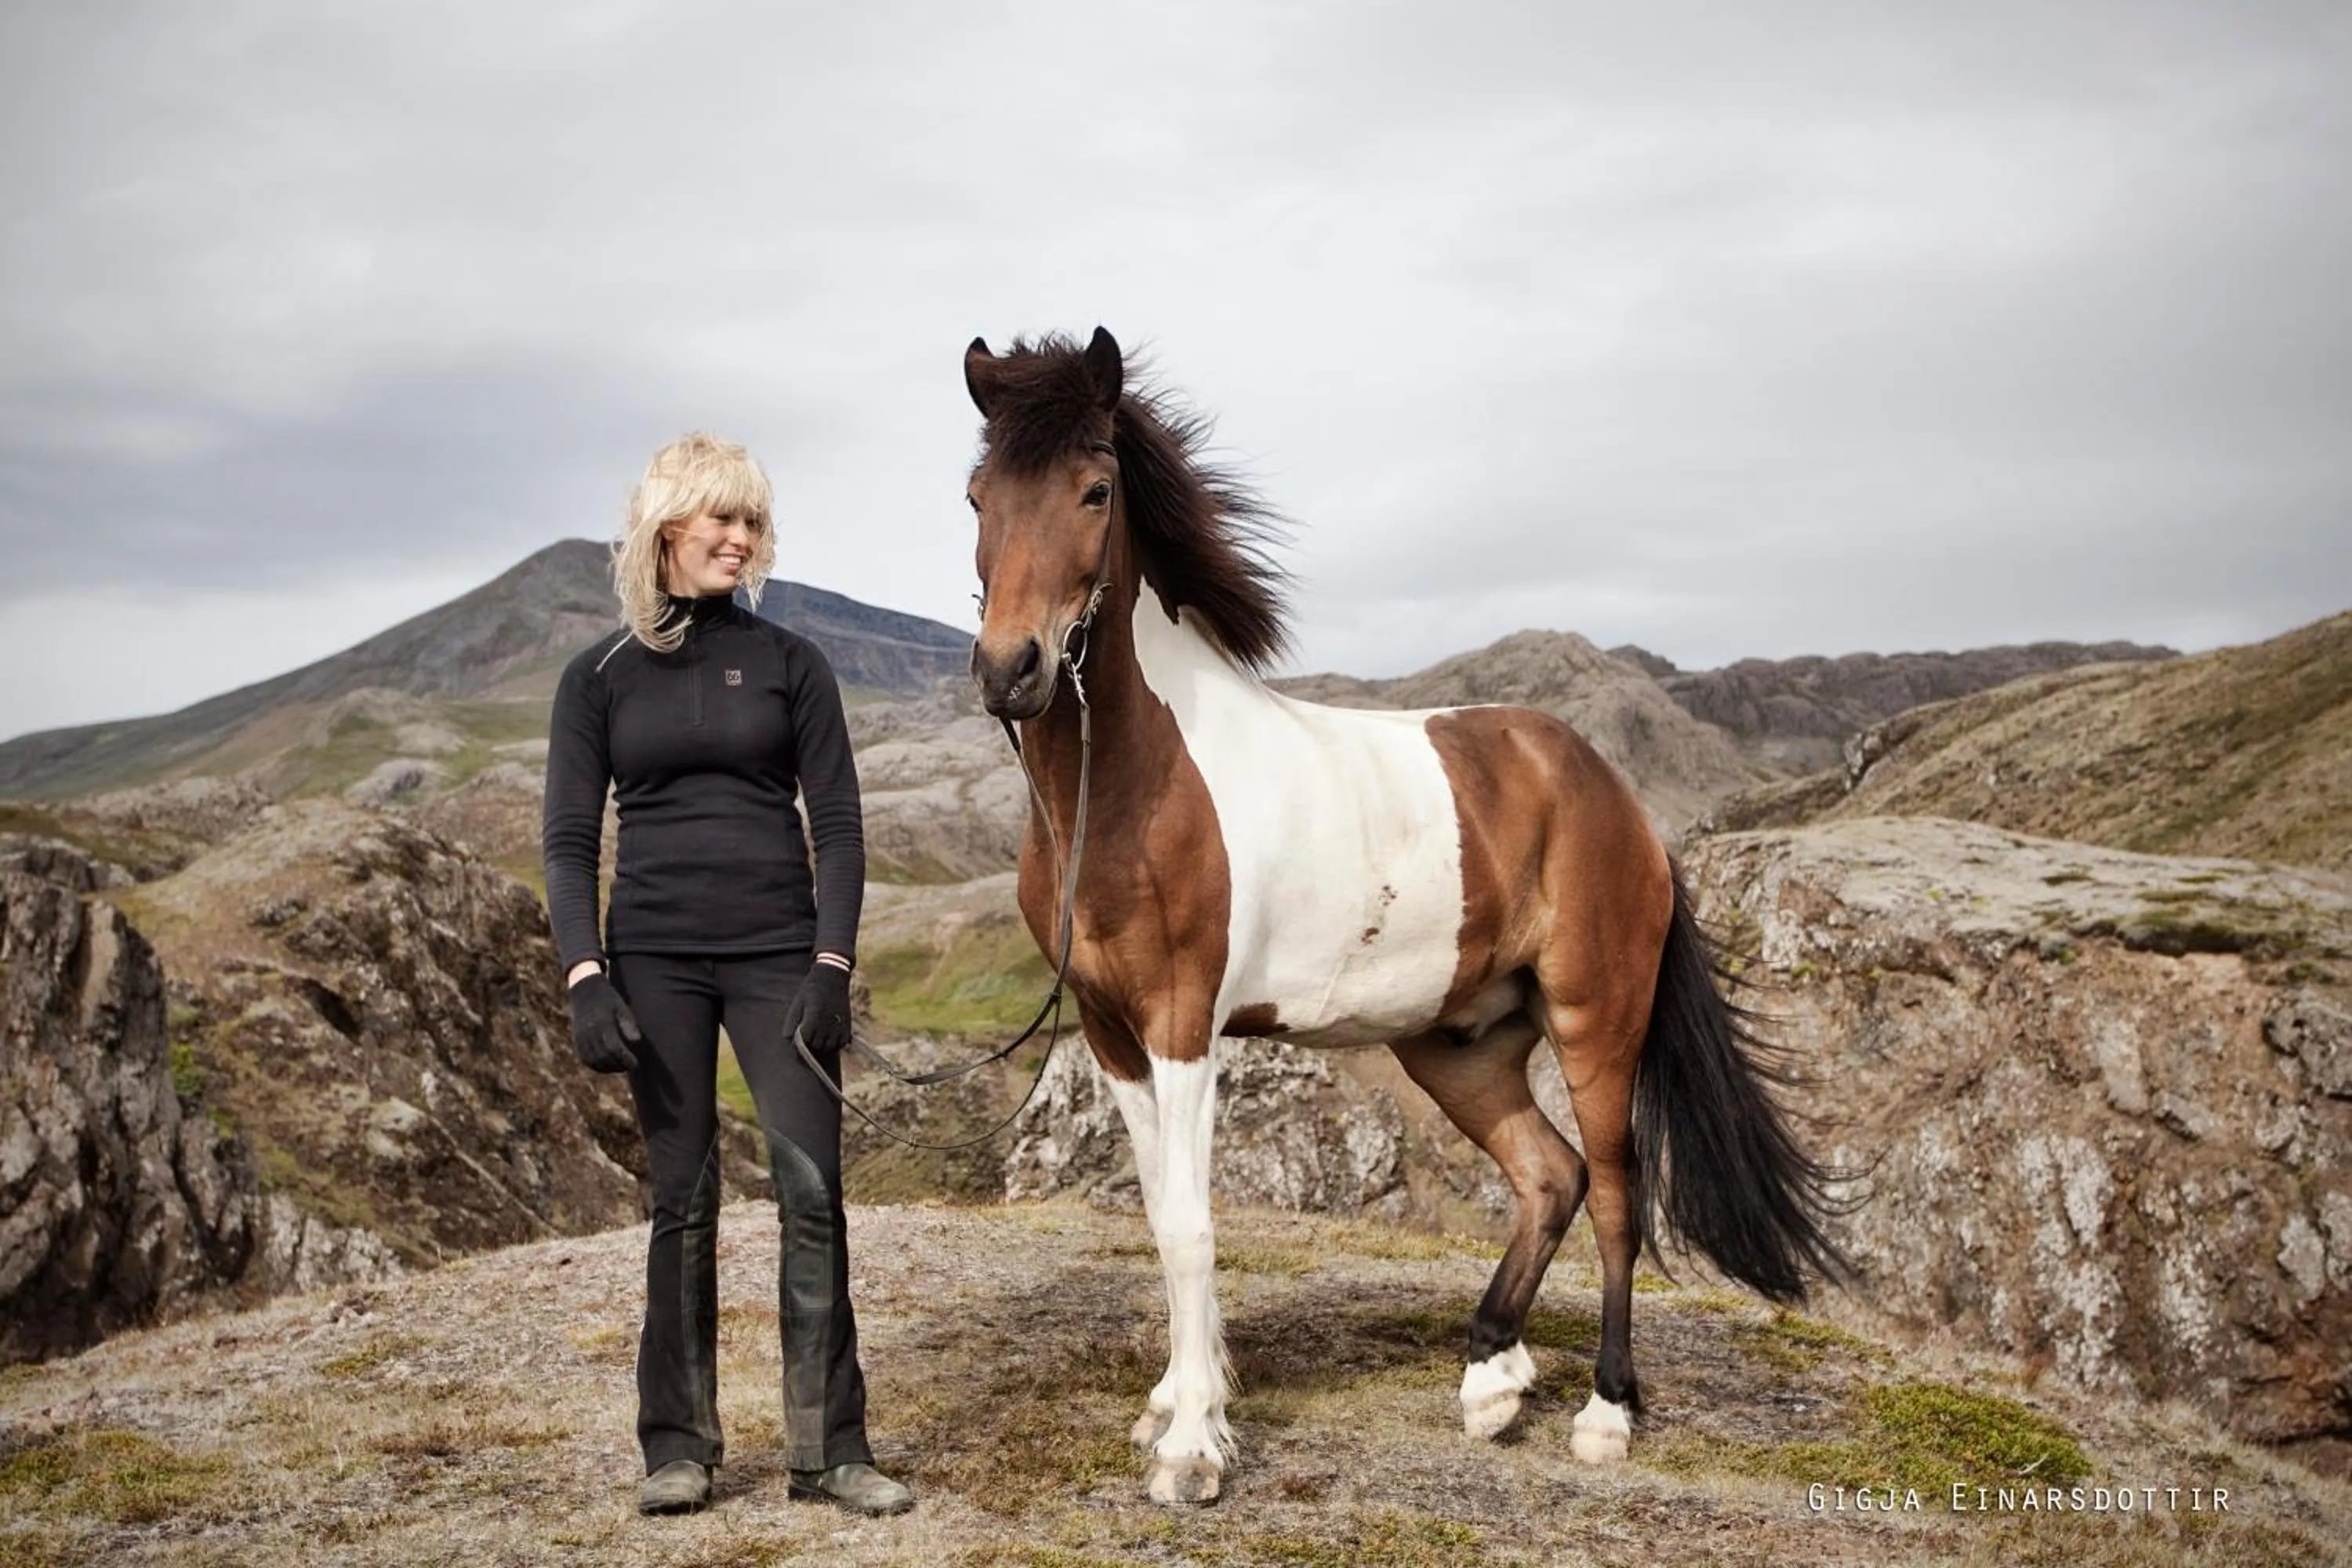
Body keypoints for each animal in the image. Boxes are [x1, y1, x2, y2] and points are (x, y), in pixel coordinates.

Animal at [959, 326, 1851, 1506]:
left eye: (1095, 489)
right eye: (977, 496)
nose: (1009, 670)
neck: (1134, 782)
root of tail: (1616, 798)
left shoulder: (1186, 1025)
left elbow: (1192, 1226)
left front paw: (1196, 1447)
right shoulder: (1113, 1034)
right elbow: (1158, 1212)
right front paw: (1174, 1405)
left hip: (1595, 1020)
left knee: (1616, 1190)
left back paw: (1605, 1413)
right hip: (1458, 1044)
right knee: (1548, 1175)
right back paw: (1492, 1382)